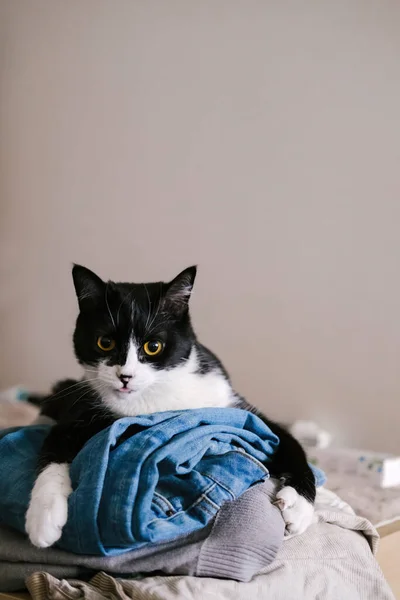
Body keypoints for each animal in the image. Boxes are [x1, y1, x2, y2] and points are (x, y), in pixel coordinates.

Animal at [26, 266, 318, 548]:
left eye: (153, 346)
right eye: (104, 343)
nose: (125, 377)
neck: (151, 397)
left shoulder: (233, 406)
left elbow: (287, 440)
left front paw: (299, 506)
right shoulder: (83, 408)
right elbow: (53, 449)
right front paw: (43, 518)